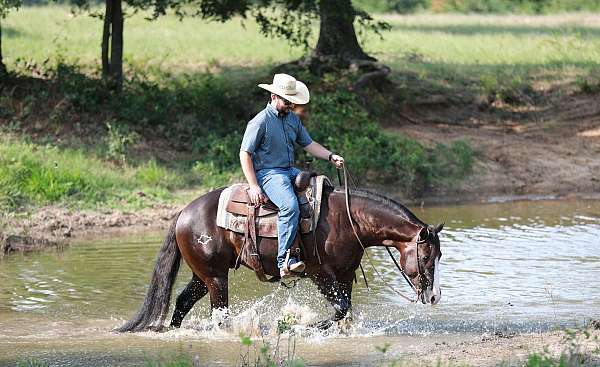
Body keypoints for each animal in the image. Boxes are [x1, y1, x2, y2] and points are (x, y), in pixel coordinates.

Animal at [116, 187, 440, 334]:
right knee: (219, 314)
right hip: (216, 278)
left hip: (202, 275)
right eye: (426, 255)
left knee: (183, 301)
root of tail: (183, 213)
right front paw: (301, 328)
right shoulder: (321, 274)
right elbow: (339, 309)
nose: (435, 296)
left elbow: (345, 311)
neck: (349, 221)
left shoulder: (345, 274)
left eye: (438, 255)